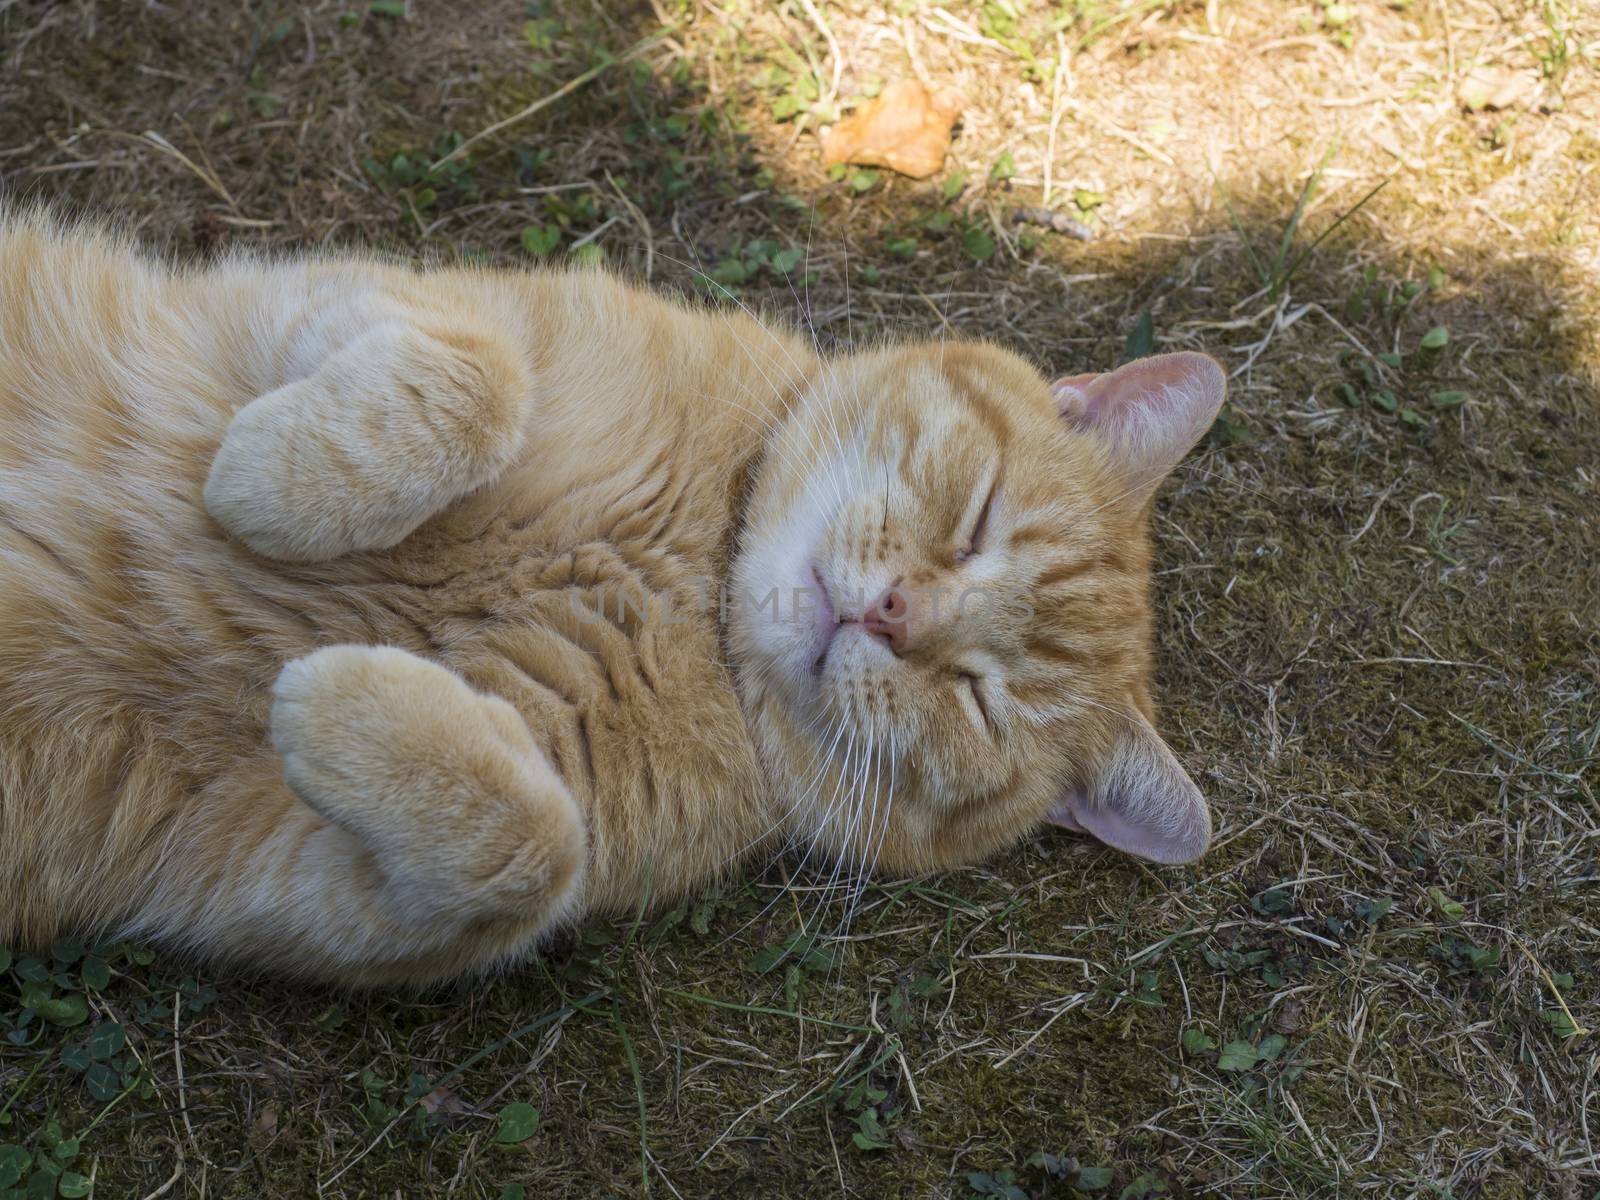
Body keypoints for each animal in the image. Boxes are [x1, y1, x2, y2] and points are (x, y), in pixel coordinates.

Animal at [0, 214, 1216, 985]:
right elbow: (473, 388)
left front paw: (334, 699)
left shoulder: (273, 878)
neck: (694, 587)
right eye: (976, 518)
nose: (893, 616)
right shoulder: (342, 300)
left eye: (977, 702)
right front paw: (259, 484)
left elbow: (530, 845)